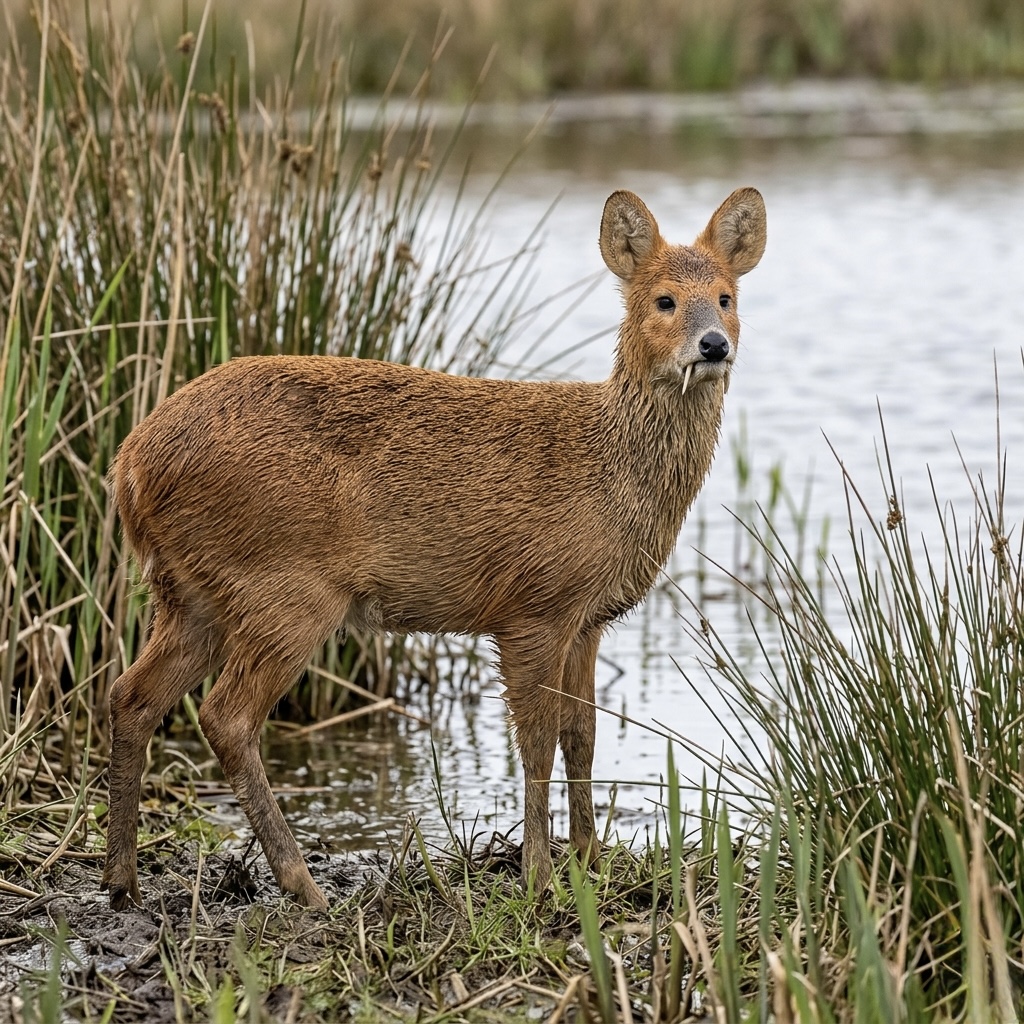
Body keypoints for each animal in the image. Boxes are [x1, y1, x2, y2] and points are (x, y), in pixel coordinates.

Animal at [101, 187, 766, 911]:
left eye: (727, 296)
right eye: (664, 300)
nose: (713, 344)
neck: (610, 466)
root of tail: (129, 466)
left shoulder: (588, 617)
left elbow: (582, 735)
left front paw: (591, 863)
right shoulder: (534, 606)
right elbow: (536, 742)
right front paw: (539, 879)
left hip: (193, 592)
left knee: (131, 697)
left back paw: (122, 882)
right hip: (283, 587)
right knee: (225, 717)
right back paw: (304, 886)